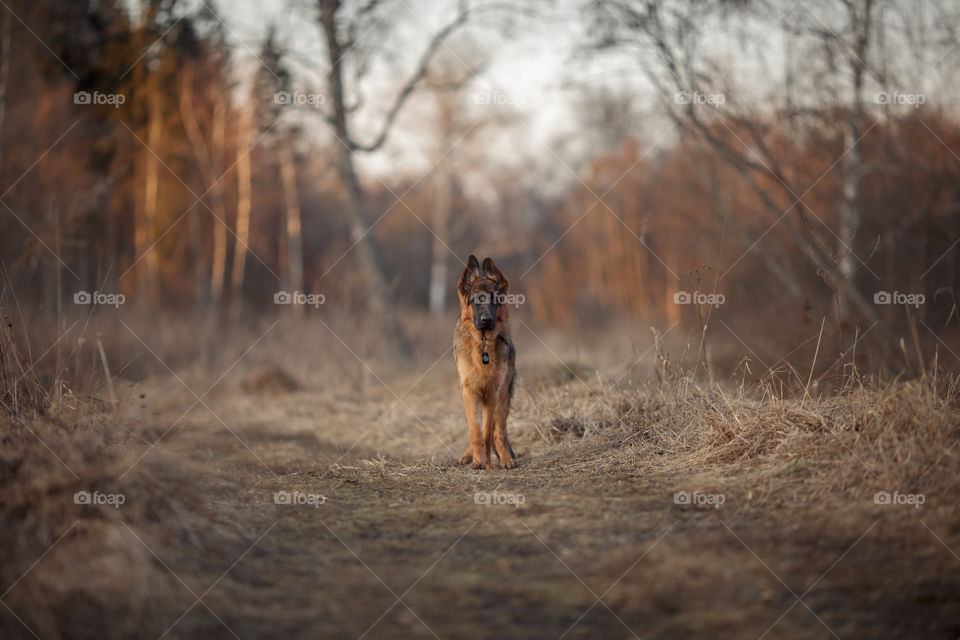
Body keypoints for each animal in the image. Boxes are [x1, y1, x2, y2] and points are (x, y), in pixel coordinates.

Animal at [456, 255, 516, 470]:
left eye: (494, 299)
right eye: (476, 299)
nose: (486, 319)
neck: (482, 345)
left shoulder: (492, 393)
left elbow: (488, 432)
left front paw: (487, 463)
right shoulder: (469, 392)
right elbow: (476, 431)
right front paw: (477, 461)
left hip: (503, 398)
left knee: (499, 431)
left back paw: (506, 459)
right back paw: (468, 456)